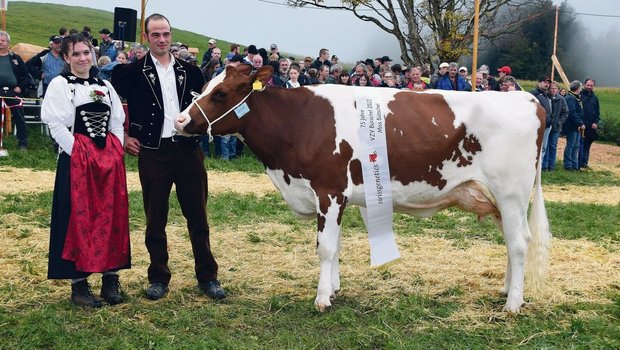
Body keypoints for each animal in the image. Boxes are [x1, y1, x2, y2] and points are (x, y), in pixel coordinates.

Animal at [174, 64, 552, 314]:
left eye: (220, 93)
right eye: (205, 86)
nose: (179, 121)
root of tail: (527, 98)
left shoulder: (328, 191)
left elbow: (325, 247)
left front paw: (322, 299)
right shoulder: (335, 197)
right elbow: (335, 246)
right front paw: (334, 290)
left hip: (511, 193)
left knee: (520, 243)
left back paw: (513, 304)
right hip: (498, 200)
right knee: (511, 243)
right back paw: (506, 290)